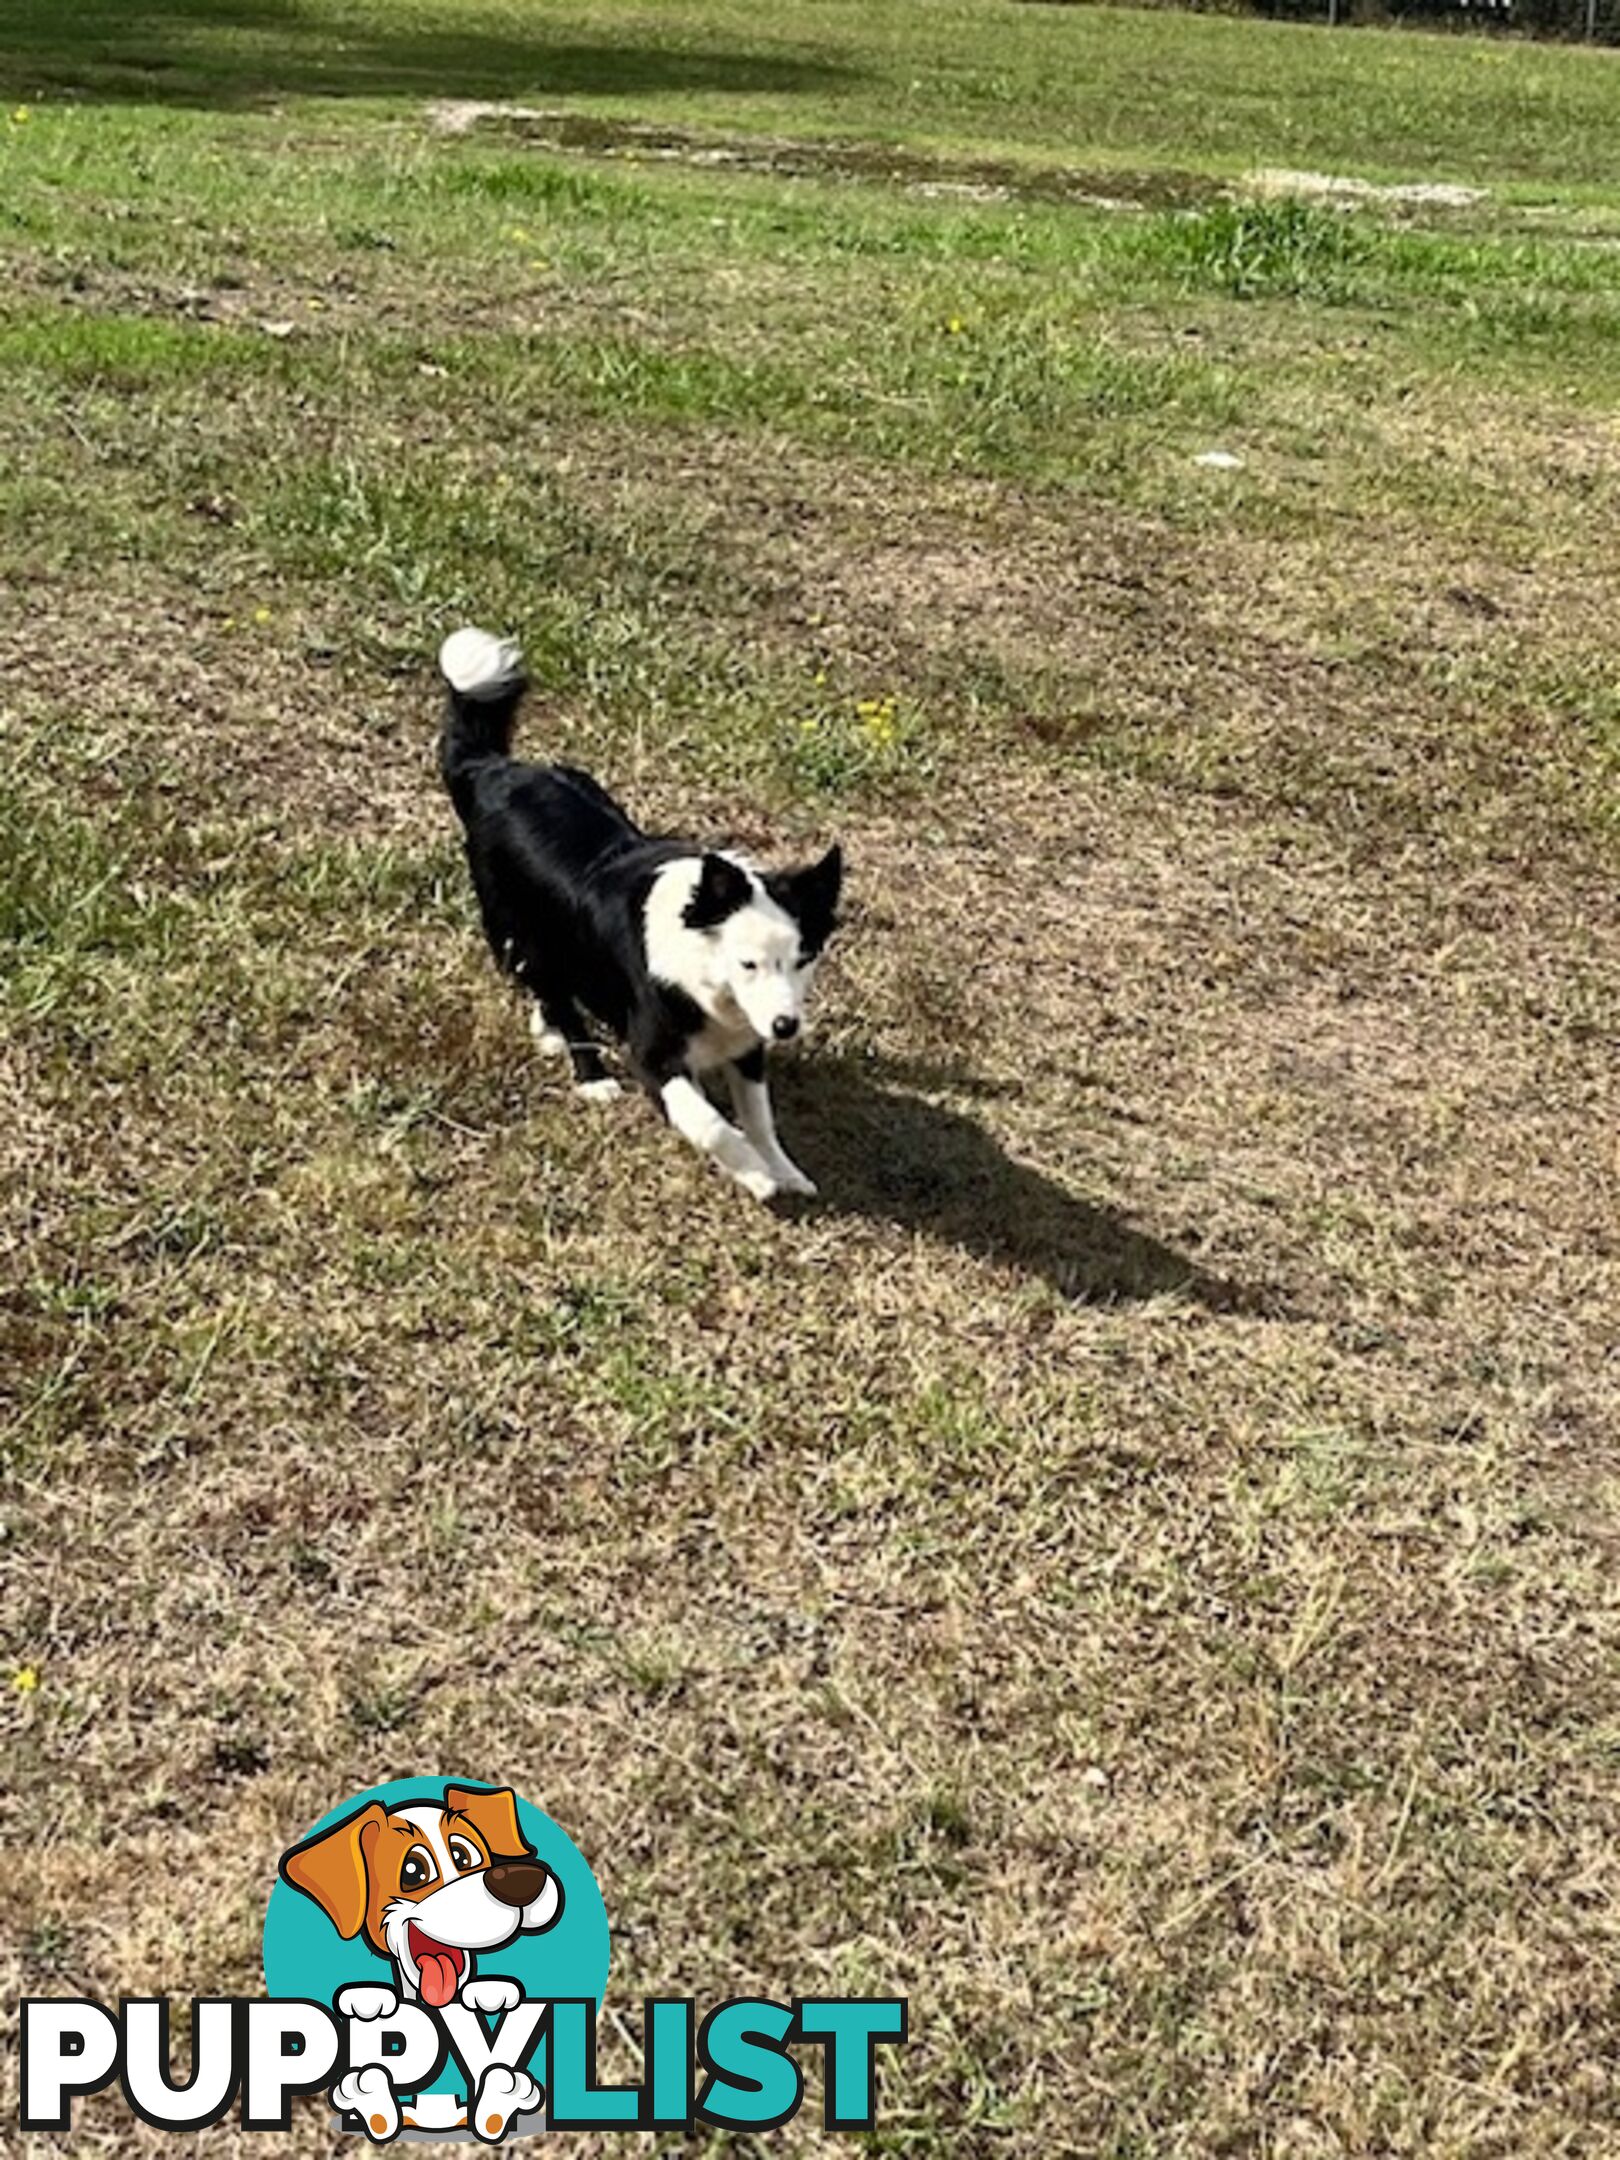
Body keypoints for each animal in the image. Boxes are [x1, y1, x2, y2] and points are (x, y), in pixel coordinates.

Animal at [444, 626, 851, 1209]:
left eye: (803, 960)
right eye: (747, 964)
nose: (786, 1026)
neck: (704, 974)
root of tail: (492, 771)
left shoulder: (747, 1046)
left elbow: (759, 1118)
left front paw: (784, 1169)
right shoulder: (653, 1054)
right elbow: (711, 1125)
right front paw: (754, 1175)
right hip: (521, 931)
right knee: (551, 991)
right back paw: (587, 1071)